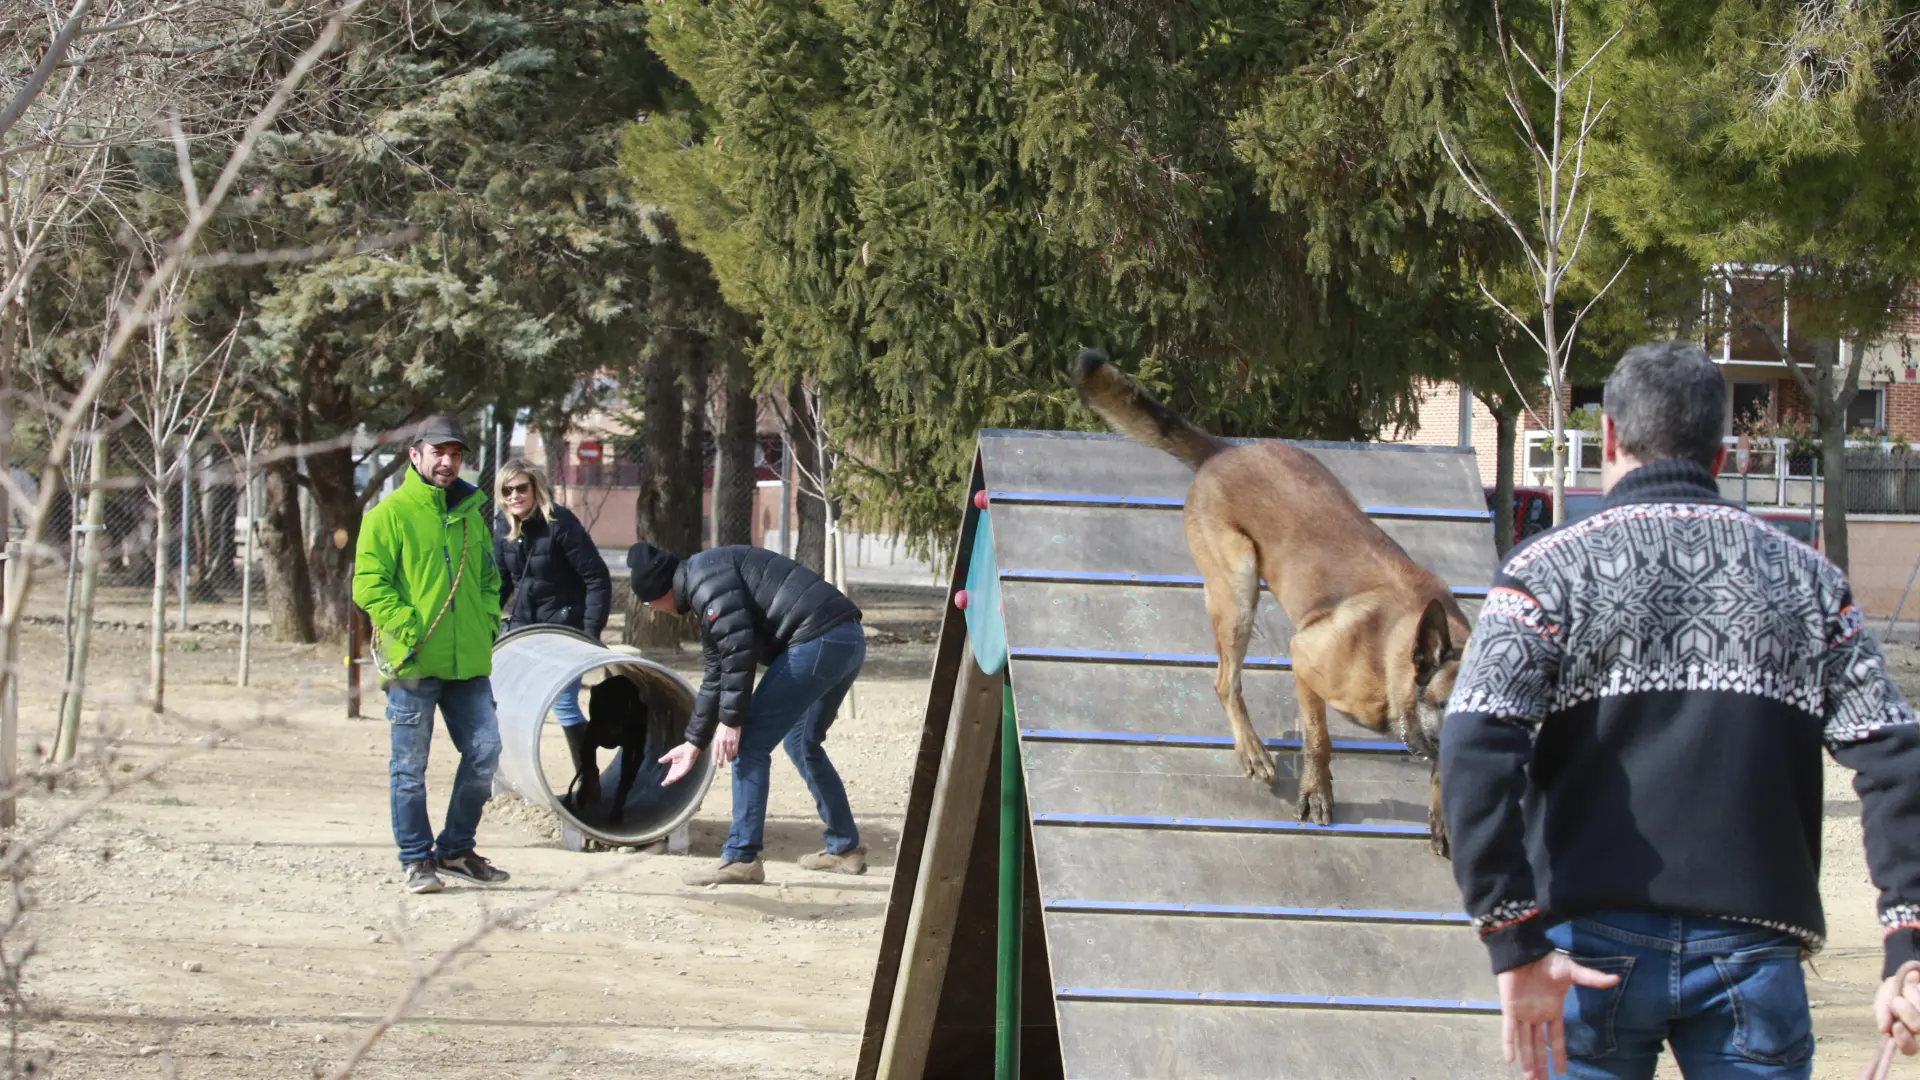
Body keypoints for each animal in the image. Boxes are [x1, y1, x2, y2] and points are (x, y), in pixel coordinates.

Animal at [560, 672, 652, 822]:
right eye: (601, 704)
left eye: (624, 706)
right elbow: (589, 768)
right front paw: (584, 794)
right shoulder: (589, 744)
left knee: (639, 757)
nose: (612, 729)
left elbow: (622, 782)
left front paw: (616, 813)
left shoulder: (627, 750)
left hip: (639, 737)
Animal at [1067, 349, 1466, 853]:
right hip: (1239, 587)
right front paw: (1316, 794)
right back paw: (1253, 752)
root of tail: (1225, 451)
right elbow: (1318, 739)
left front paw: (1445, 820)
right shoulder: (1305, 657)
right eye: (1446, 705)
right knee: (1226, 682)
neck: (1394, 657)